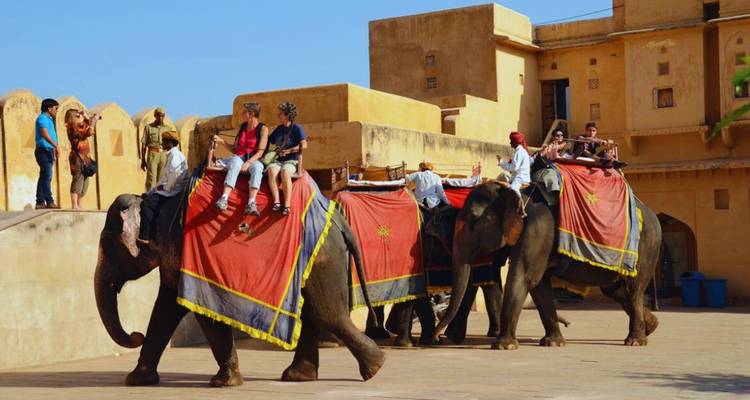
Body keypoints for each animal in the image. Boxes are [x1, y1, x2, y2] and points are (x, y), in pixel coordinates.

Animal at [95, 192, 385, 386]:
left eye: (108, 245)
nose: (136, 335)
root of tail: (338, 218)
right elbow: (165, 309)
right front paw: (136, 380)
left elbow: (200, 311)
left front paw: (224, 382)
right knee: (313, 312)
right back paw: (299, 377)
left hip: (323, 257)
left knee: (327, 313)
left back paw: (374, 368)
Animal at [433, 181, 660, 349]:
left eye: (473, 219)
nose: (437, 338)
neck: (519, 195)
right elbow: (539, 285)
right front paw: (553, 343)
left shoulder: (537, 229)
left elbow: (524, 277)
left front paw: (503, 346)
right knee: (616, 290)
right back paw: (651, 326)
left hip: (647, 247)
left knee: (633, 289)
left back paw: (635, 341)